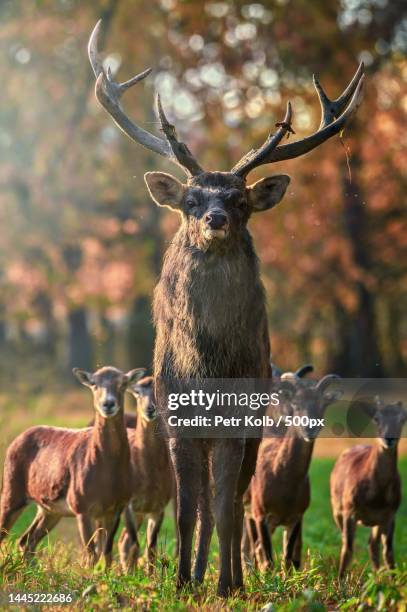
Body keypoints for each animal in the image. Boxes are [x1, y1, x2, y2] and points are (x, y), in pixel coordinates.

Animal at [0, 366, 144, 568]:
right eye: (94, 384)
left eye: (123, 383)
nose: (108, 404)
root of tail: (16, 440)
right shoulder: (81, 504)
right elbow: (91, 553)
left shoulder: (116, 506)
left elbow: (106, 553)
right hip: (12, 489)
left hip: (50, 509)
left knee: (26, 540)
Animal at [245, 372, 344, 568]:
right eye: (296, 404)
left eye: (322, 405)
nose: (309, 428)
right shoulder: (260, 513)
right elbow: (268, 558)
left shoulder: (296, 516)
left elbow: (288, 558)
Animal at [334, 396, 406, 580]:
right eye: (376, 418)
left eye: (402, 419)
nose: (389, 438)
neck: (376, 497)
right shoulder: (350, 510)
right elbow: (347, 548)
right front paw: (340, 581)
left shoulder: (390, 514)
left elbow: (388, 551)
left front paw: (393, 582)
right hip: (337, 509)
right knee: (347, 540)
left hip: (377, 521)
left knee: (372, 544)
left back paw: (376, 575)